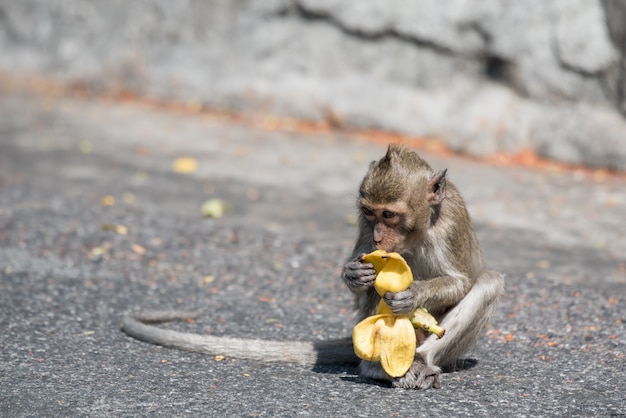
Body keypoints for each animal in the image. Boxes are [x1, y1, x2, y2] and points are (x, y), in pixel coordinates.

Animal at [123, 144, 502, 388]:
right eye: (370, 214)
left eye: (390, 215)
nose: (379, 236)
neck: (418, 231)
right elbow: (362, 274)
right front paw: (353, 274)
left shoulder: (450, 222)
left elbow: (462, 281)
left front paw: (412, 295)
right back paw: (376, 370)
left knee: (490, 282)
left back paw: (421, 362)